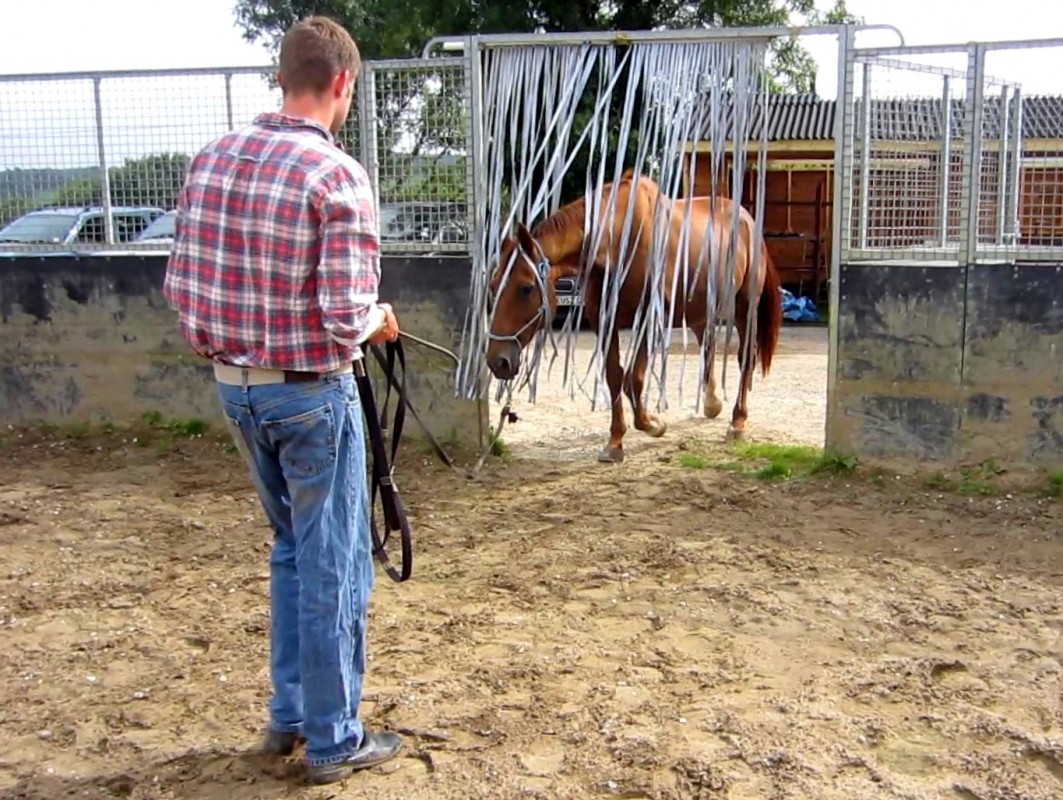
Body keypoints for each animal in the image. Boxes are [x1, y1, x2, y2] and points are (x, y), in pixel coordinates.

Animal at [486, 173, 782, 461]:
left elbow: (633, 379)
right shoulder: (604, 323)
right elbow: (614, 377)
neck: (618, 242)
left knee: (745, 358)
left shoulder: (649, 322)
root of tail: (747, 219)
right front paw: (616, 441)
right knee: (707, 348)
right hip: (700, 311)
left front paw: (652, 424)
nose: (497, 361)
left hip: (744, 308)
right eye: (493, 285)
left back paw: (737, 422)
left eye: (526, 288)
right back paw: (712, 404)